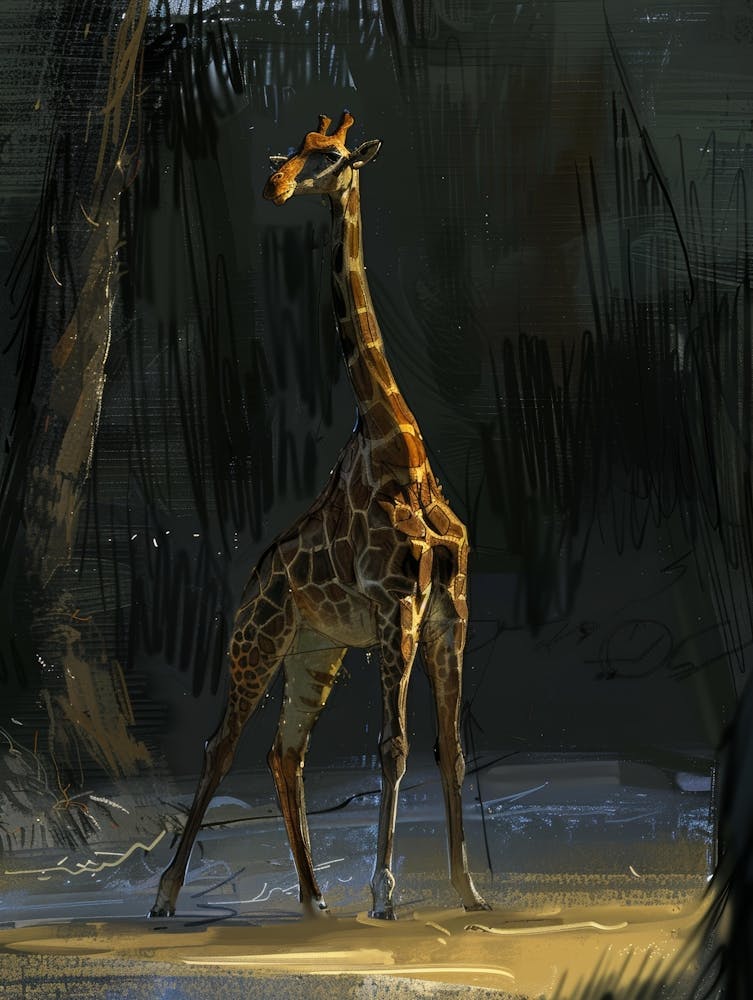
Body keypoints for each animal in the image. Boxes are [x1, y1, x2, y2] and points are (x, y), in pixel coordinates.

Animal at [149, 111, 489, 921]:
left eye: (329, 156)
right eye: (291, 151)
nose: (273, 185)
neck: (402, 453)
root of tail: (251, 582)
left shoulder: (449, 607)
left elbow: (451, 748)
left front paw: (469, 892)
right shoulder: (397, 606)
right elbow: (395, 747)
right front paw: (385, 894)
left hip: (315, 651)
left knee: (286, 751)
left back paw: (311, 900)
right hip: (257, 642)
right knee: (221, 746)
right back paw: (167, 895)